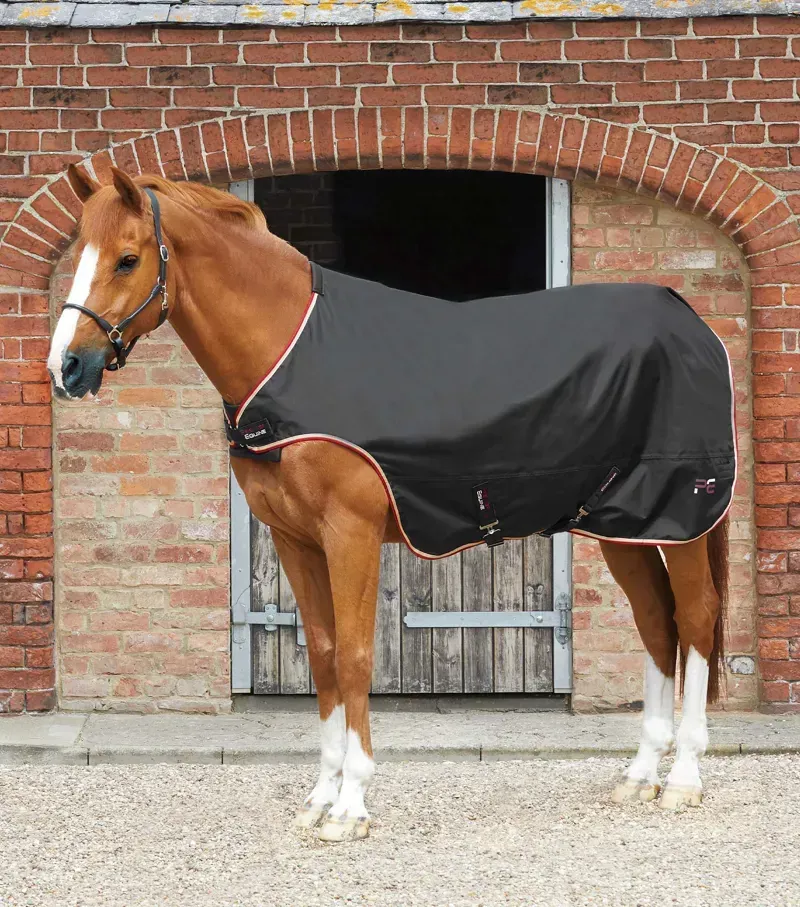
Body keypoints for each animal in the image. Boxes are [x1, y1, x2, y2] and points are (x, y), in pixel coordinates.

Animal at [48, 166, 731, 842]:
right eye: (78, 254)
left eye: (128, 259)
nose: (67, 367)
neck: (291, 354)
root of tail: (692, 323)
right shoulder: (294, 540)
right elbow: (324, 655)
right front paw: (321, 797)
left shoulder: (349, 534)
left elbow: (355, 657)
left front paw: (351, 806)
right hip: (625, 524)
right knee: (656, 623)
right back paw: (640, 775)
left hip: (682, 519)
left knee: (696, 616)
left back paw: (684, 779)